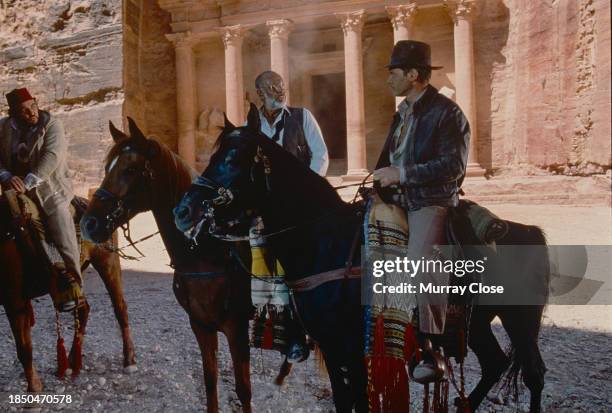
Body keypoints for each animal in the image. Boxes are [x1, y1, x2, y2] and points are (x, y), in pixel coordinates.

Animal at [0, 193, 136, 392]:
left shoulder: (15, 301)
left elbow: (24, 348)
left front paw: (34, 388)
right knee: (84, 309)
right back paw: (72, 360)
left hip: (108, 262)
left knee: (120, 308)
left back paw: (129, 359)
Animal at [80, 118, 290, 412]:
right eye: (107, 167)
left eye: (130, 168)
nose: (89, 223)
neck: (206, 254)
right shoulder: (200, 325)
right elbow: (210, 380)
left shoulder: (236, 329)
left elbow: (243, 390)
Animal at [173, 104, 548, 412]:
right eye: (212, 154)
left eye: (232, 158)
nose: (183, 211)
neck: (326, 243)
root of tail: (528, 231)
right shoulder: (331, 346)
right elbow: (343, 401)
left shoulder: (353, 349)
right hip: (480, 324)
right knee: (496, 363)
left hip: (520, 320)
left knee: (534, 375)